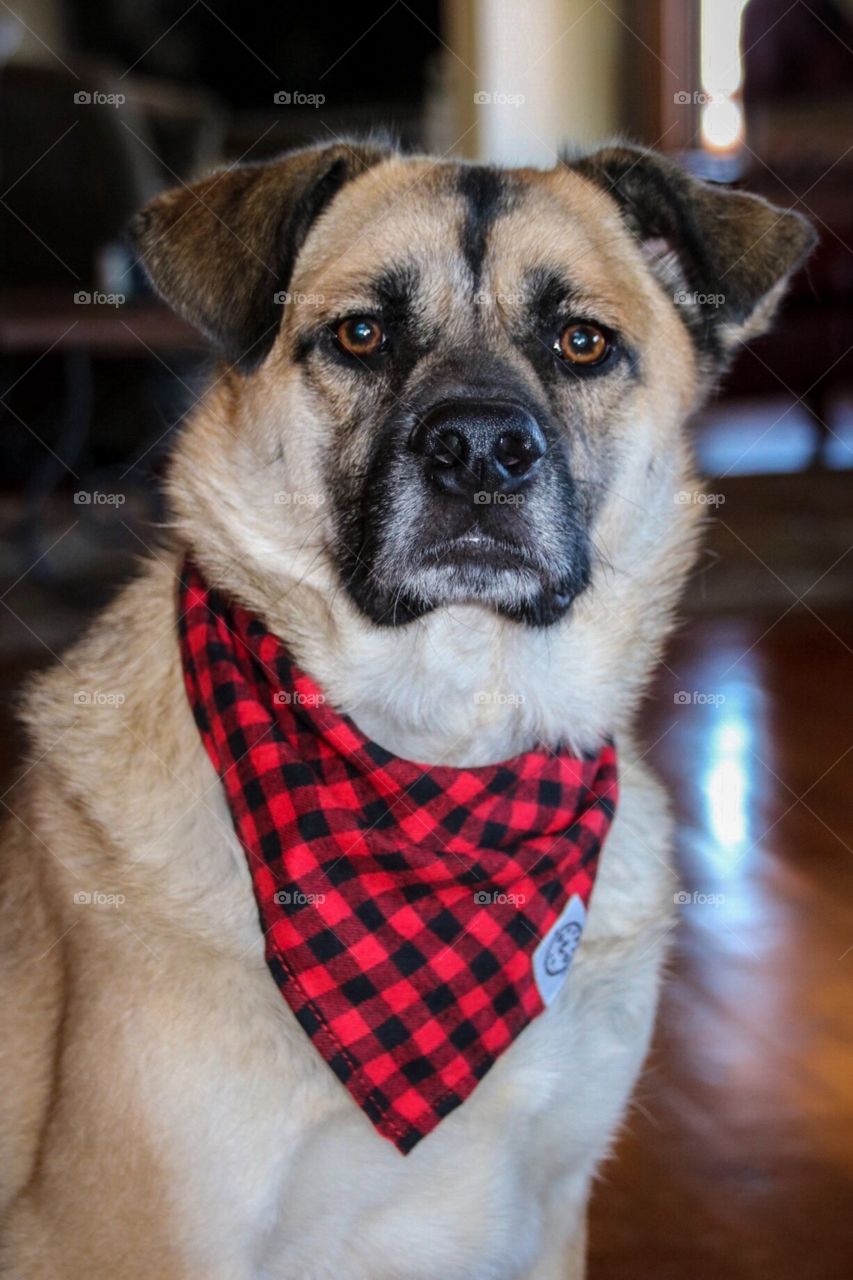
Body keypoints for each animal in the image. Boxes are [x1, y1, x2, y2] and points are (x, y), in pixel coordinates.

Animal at [0, 140, 809, 1280]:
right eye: (361, 334)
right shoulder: (121, 1233)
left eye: (581, 342)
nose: (479, 450)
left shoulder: (547, 1215)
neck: (439, 752)